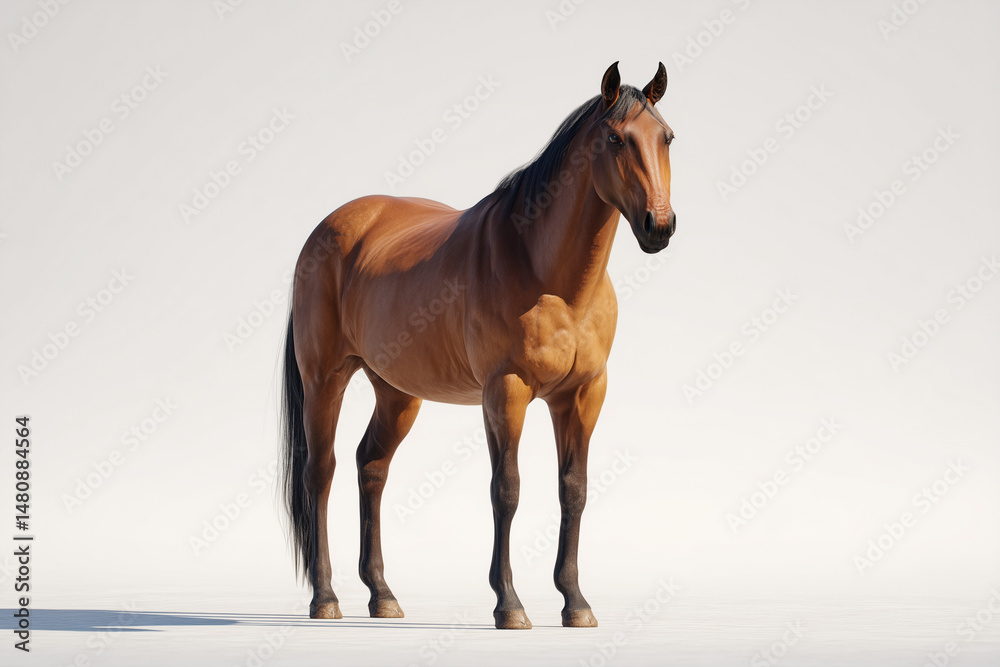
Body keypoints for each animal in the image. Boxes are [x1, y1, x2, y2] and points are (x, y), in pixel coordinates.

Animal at [279, 61, 676, 630]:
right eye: (616, 138)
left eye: (666, 137)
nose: (659, 226)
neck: (548, 276)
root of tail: (325, 231)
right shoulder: (504, 391)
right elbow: (506, 489)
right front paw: (509, 604)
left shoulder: (582, 394)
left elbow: (573, 490)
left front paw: (575, 602)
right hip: (324, 380)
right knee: (321, 472)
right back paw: (325, 597)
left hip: (397, 393)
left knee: (371, 467)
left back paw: (382, 595)